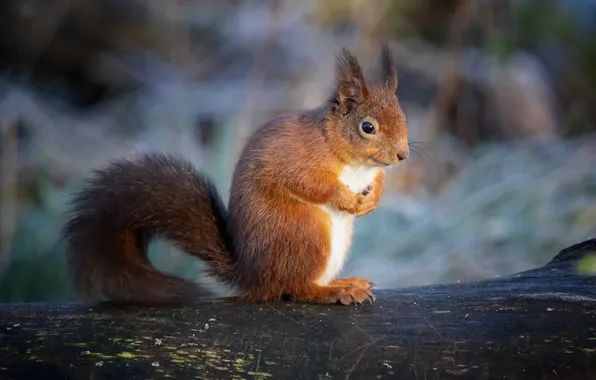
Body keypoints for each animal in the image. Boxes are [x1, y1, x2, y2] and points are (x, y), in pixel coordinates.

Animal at [64, 43, 410, 306]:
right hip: (304, 232)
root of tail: (252, 277)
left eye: (403, 116)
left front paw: (372, 200)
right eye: (368, 127)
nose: (402, 155)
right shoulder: (299, 159)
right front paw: (345, 198)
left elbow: (378, 182)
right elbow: (308, 183)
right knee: (295, 288)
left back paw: (344, 282)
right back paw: (333, 291)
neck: (355, 161)